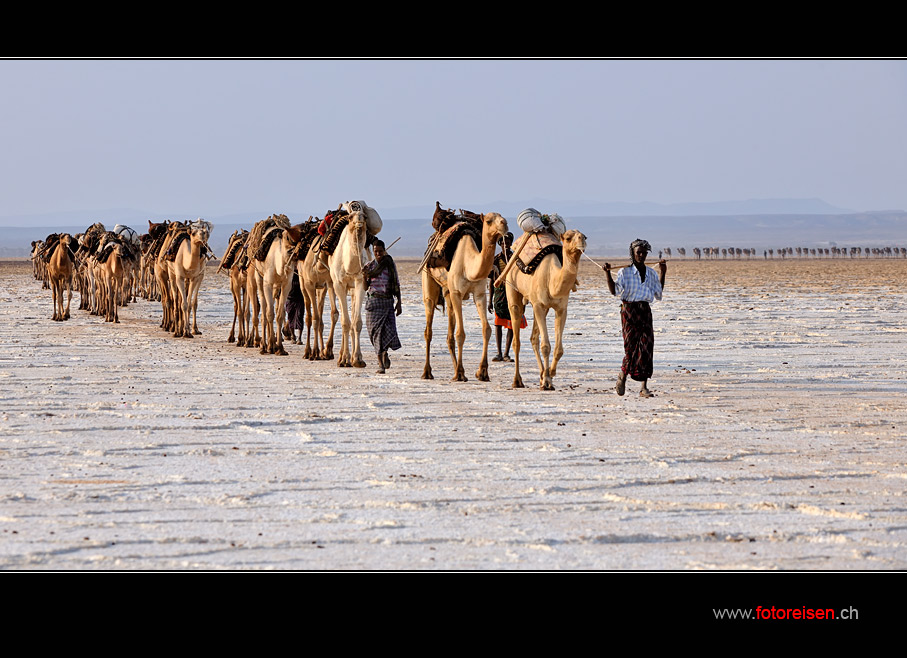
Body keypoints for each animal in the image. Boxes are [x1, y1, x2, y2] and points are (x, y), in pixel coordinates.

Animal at [504, 228, 588, 390]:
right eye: (568, 238)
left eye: (584, 236)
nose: (582, 239)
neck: (552, 279)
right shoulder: (539, 305)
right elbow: (546, 346)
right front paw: (548, 382)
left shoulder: (561, 309)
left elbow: (558, 349)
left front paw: (550, 374)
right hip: (512, 288)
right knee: (517, 339)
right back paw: (517, 380)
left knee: (533, 338)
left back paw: (542, 374)